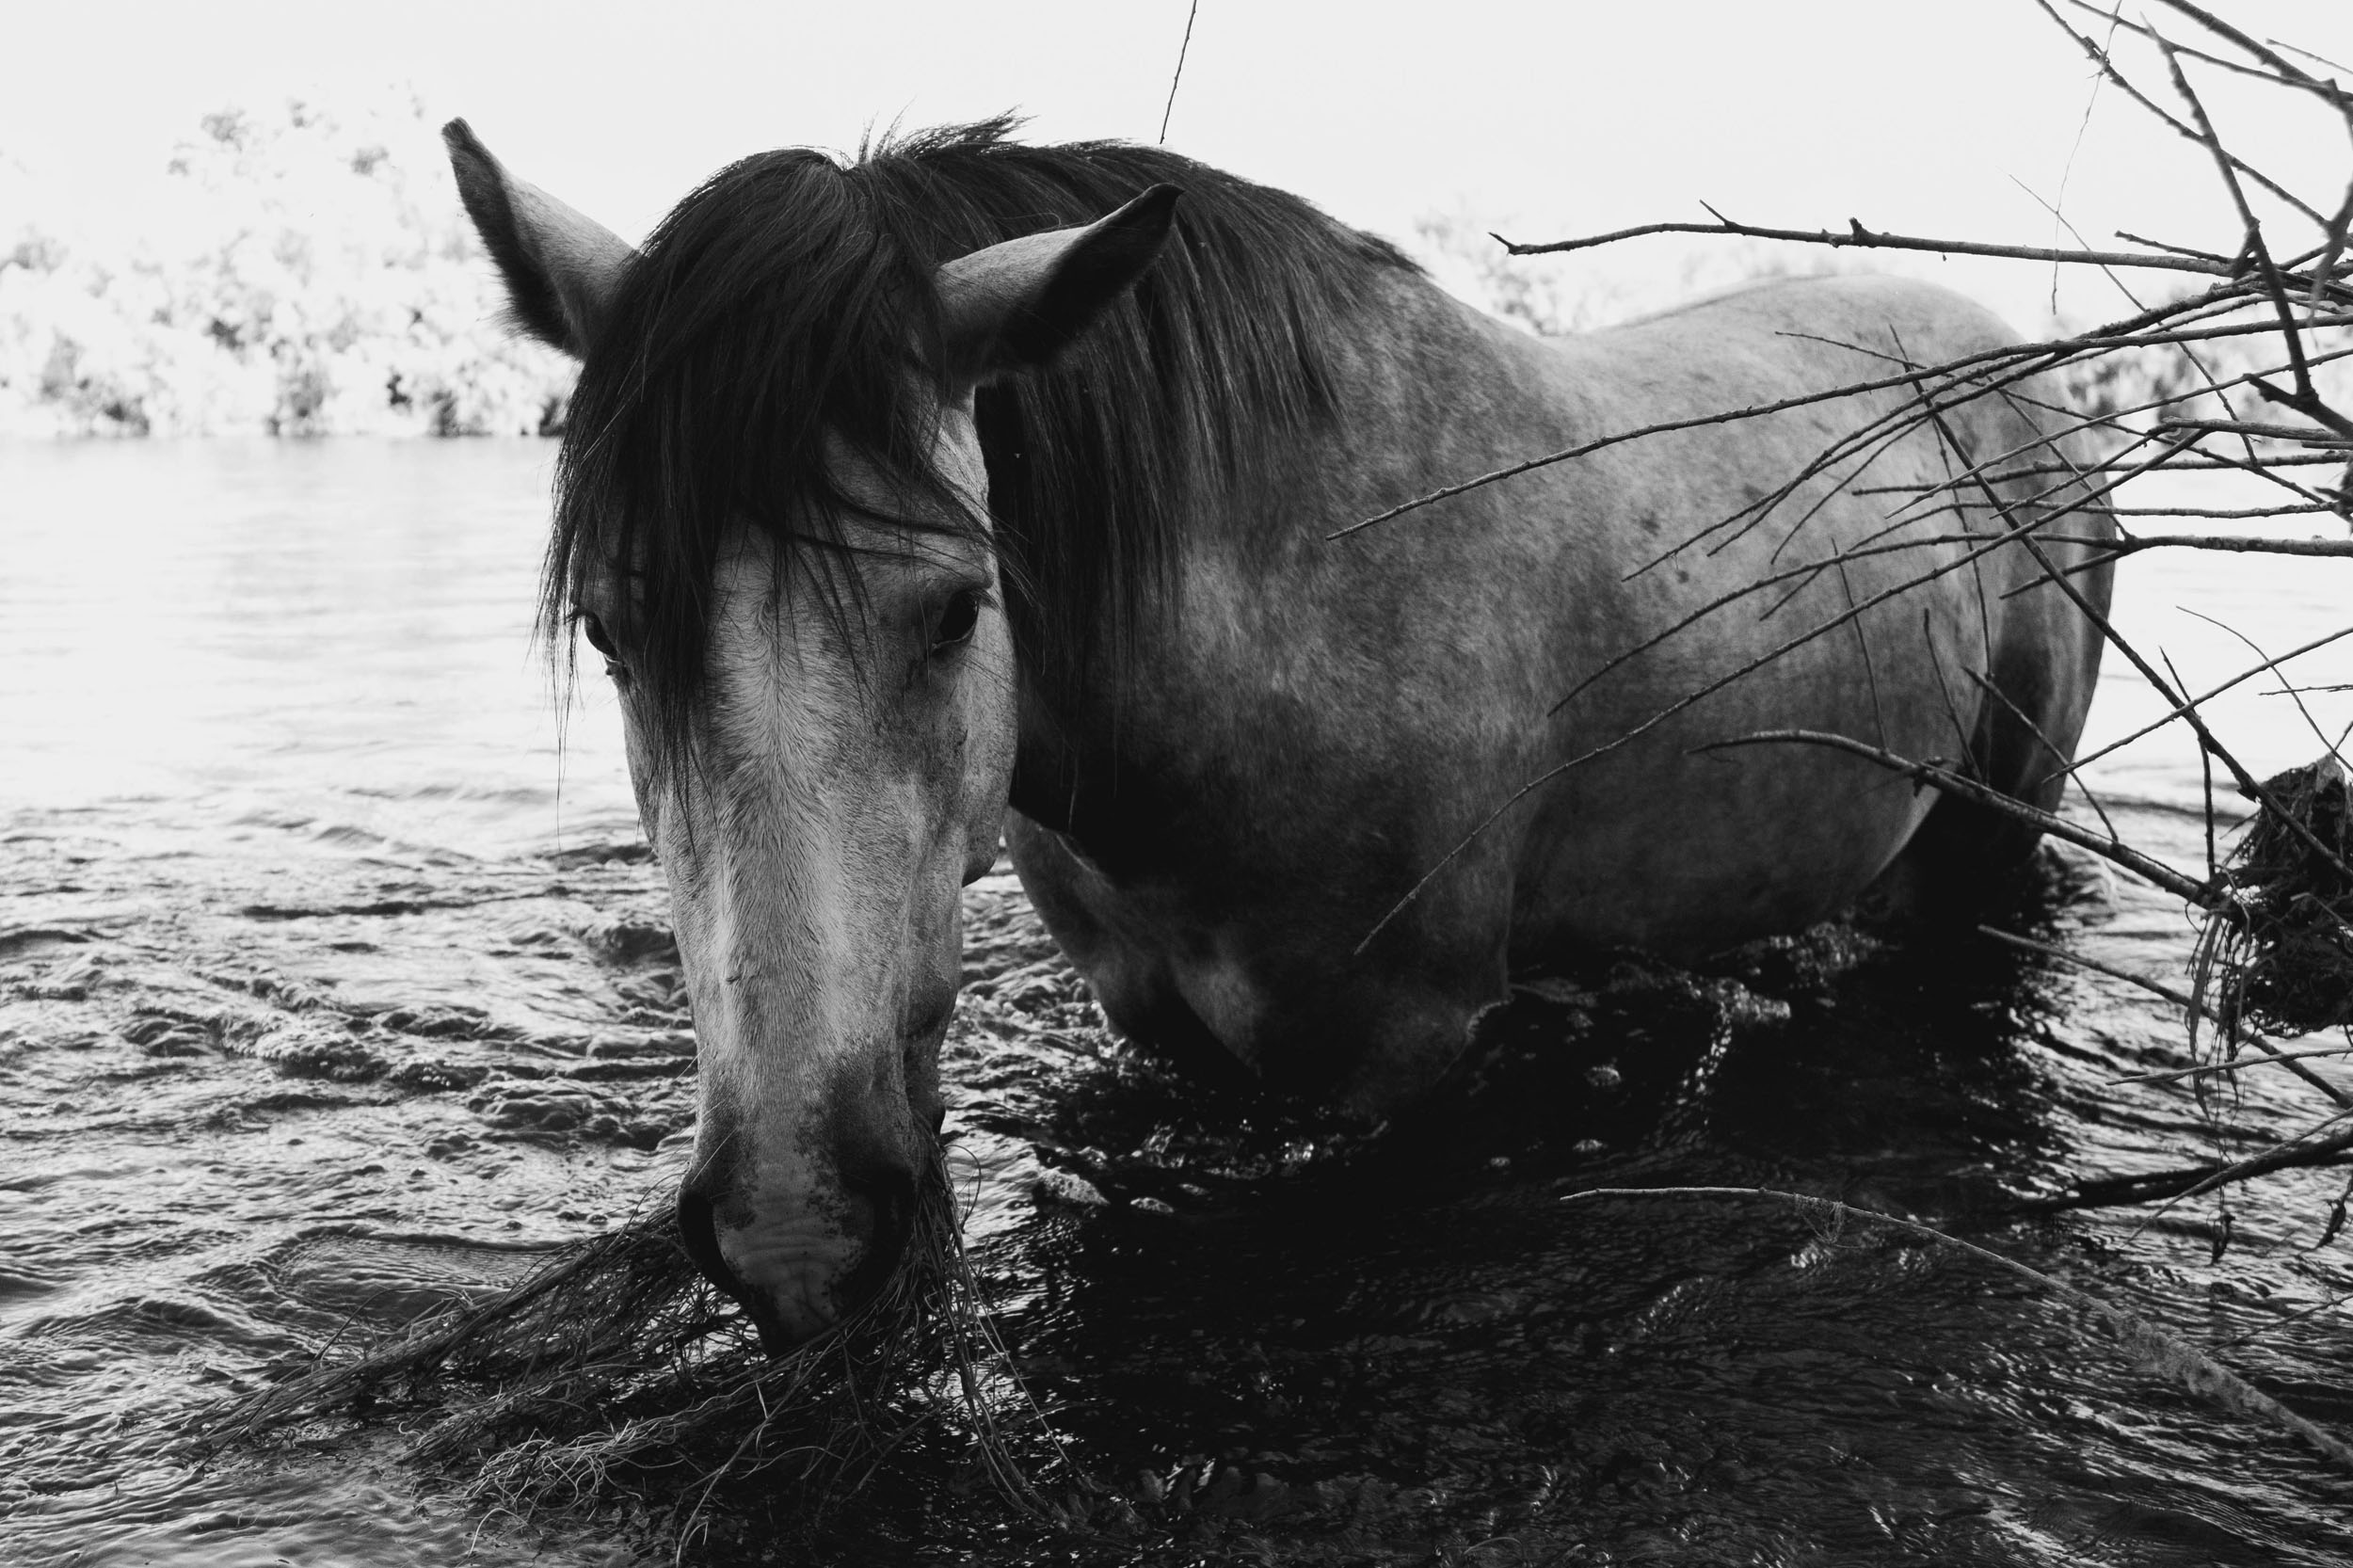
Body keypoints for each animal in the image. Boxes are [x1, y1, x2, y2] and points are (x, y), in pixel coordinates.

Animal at [443, 117, 2112, 1345]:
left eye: (958, 607)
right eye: (614, 629)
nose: (799, 1222)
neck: (1262, 635)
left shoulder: (1402, 1057)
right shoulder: (1153, 1014)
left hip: (1999, 828)